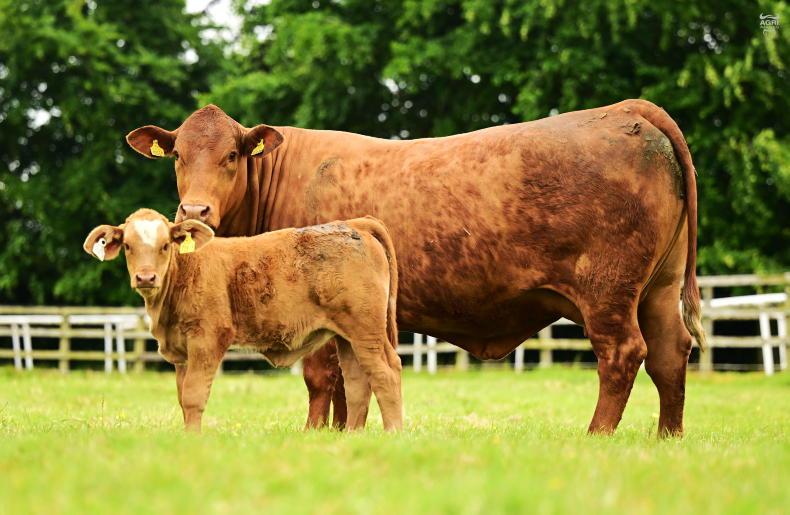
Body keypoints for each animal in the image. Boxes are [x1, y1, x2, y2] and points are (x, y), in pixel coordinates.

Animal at [82, 209, 402, 432]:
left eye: (165, 245)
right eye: (127, 246)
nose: (146, 277)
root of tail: (354, 224)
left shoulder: (207, 339)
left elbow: (194, 395)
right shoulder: (182, 352)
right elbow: (183, 397)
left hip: (366, 332)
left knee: (386, 373)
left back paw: (393, 434)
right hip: (347, 337)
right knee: (358, 382)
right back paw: (352, 435)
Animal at [126, 99, 706, 437]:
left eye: (232, 155)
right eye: (177, 155)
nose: (195, 210)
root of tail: (629, 111)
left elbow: (321, 377)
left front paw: (316, 434)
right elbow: (347, 380)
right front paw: (345, 434)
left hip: (607, 290)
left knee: (623, 354)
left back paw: (596, 436)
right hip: (658, 286)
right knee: (669, 353)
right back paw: (668, 437)